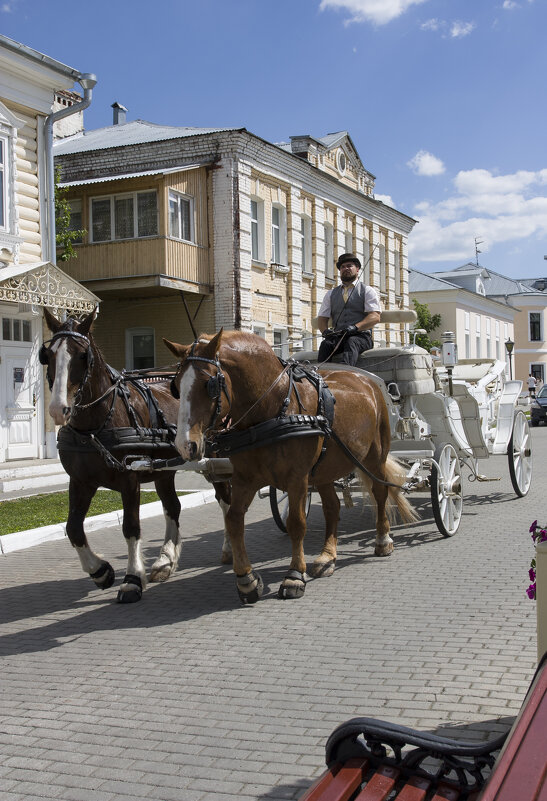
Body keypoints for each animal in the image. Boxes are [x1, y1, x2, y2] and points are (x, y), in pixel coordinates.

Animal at [41, 310, 231, 604]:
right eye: (48, 355)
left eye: (82, 355)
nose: (58, 409)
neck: (95, 426)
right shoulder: (81, 481)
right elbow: (73, 528)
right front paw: (100, 571)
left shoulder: (129, 480)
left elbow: (131, 527)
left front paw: (131, 580)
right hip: (164, 472)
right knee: (173, 507)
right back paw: (165, 560)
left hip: (216, 461)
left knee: (225, 501)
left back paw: (228, 549)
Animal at [165, 328, 418, 604]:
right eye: (176, 386)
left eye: (208, 384)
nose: (184, 445)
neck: (271, 411)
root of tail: (367, 381)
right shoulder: (244, 479)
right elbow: (233, 520)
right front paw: (246, 579)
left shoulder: (297, 478)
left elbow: (297, 523)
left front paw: (294, 576)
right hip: (325, 469)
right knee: (332, 507)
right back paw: (327, 557)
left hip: (375, 456)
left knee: (380, 493)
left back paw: (383, 540)